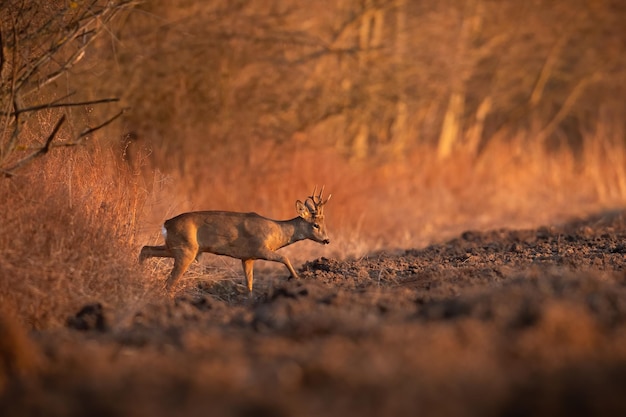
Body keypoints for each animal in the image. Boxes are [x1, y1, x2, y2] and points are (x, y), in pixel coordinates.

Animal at [138, 187, 330, 290]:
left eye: (324, 223)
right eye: (315, 225)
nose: (327, 240)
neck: (276, 233)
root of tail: (166, 223)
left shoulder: (247, 258)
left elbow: (249, 284)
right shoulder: (259, 248)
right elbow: (285, 257)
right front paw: (297, 279)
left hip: (174, 247)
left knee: (145, 249)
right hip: (186, 250)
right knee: (170, 282)